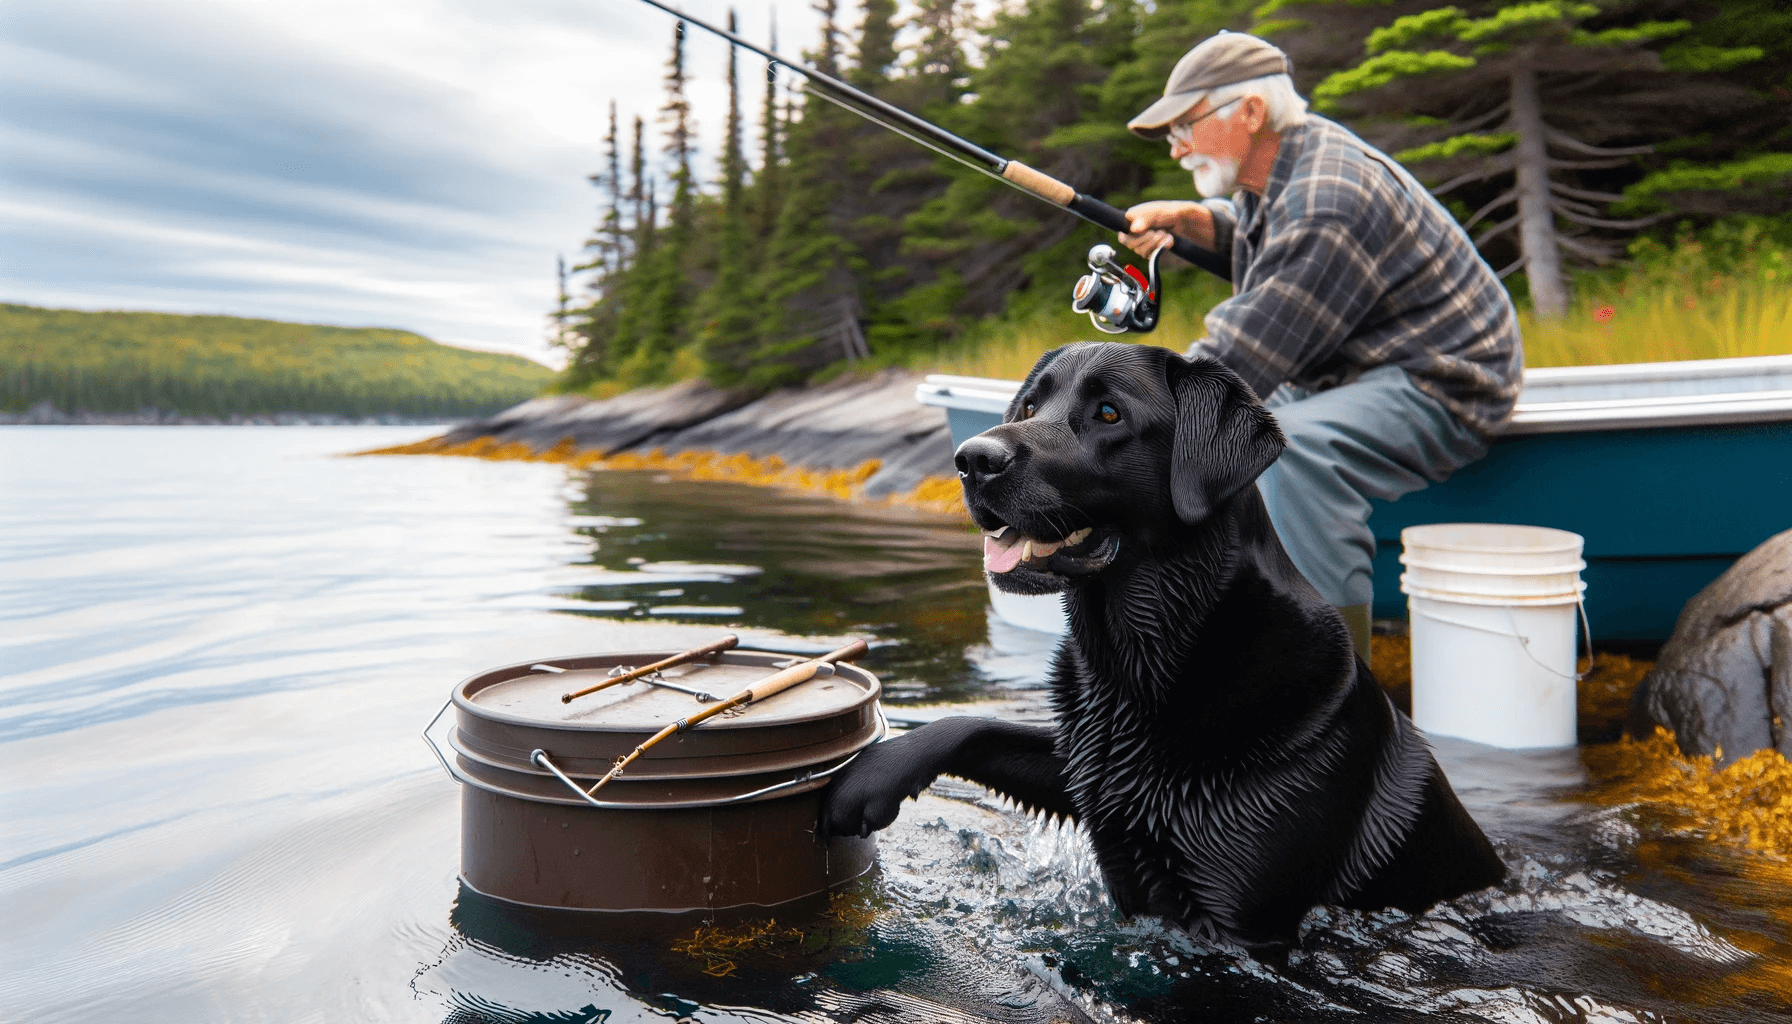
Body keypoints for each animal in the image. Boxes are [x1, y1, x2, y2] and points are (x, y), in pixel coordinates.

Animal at [820, 342, 1505, 954]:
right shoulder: (1088, 769)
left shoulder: (1238, 924)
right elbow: (976, 725)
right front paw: (874, 773)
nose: (970, 459)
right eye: (1029, 405)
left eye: (1109, 414)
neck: (1138, 666)